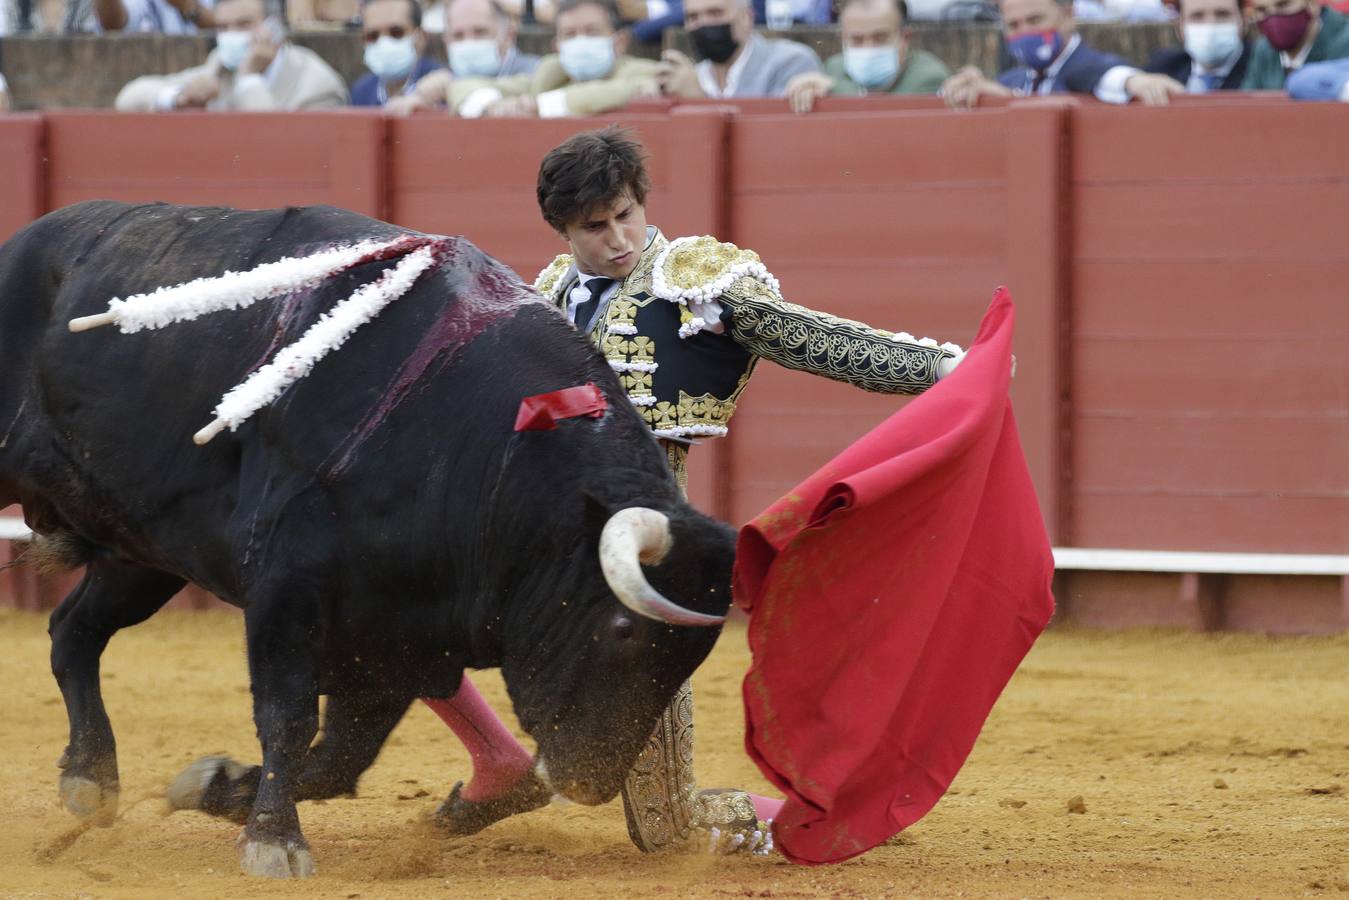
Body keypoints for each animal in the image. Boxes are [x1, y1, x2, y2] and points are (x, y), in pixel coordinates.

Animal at [0, 203, 739, 879]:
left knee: (73, 631)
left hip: (144, 546)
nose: (590, 781)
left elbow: (338, 757)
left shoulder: (397, 630)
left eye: (690, 660)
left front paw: (214, 787)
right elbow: (288, 717)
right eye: (623, 628)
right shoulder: (288, 588)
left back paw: (90, 779)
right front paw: (275, 842)